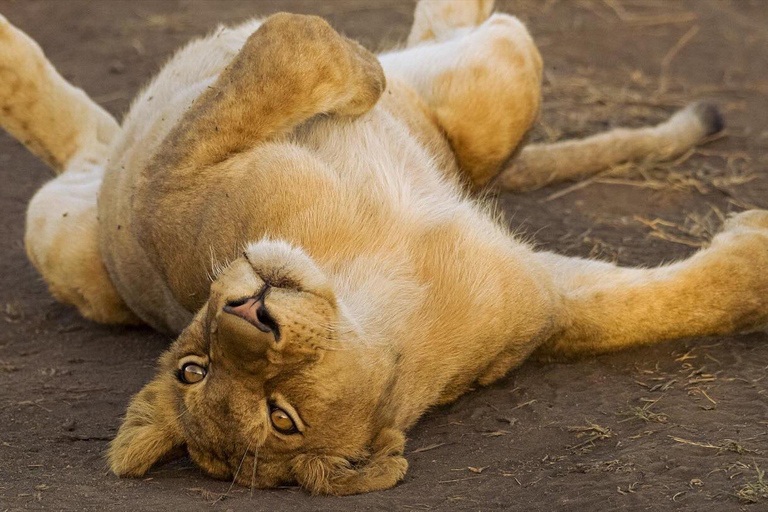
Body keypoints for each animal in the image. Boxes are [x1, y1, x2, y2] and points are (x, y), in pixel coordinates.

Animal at [3, 0, 764, 496]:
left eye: (192, 369)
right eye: (281, 417)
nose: (249, 314)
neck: (377, 282)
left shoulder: (538, 294)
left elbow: (652, 309)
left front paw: (752, 252)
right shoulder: (166, 202)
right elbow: (295, 43)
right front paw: (365, 71)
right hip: (63, 236)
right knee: (78, 133)